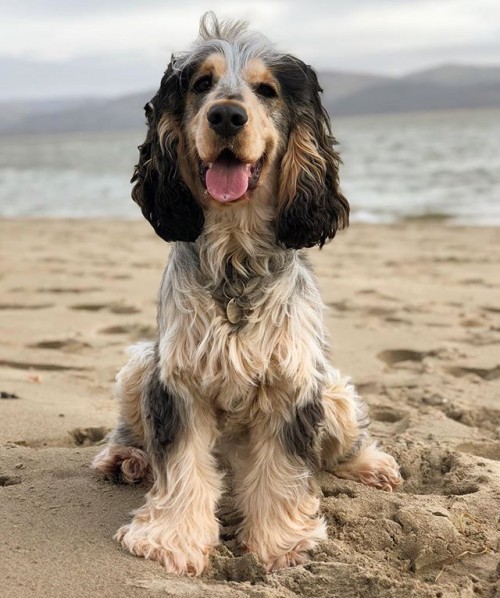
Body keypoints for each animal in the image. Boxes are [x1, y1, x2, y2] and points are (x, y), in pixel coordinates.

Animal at [92, 12, 400, 576]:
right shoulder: (178, 379)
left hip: (333, 391)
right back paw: (126, 457)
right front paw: (171, 539)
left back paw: (371, 465)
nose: (227, 116)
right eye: (201, 84)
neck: (235, 260)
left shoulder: (293, 383)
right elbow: (182, 464)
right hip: (140, 365)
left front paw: (281, 543)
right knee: (132, 427)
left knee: (345, 442)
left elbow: (281, 471)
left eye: (266, 90)